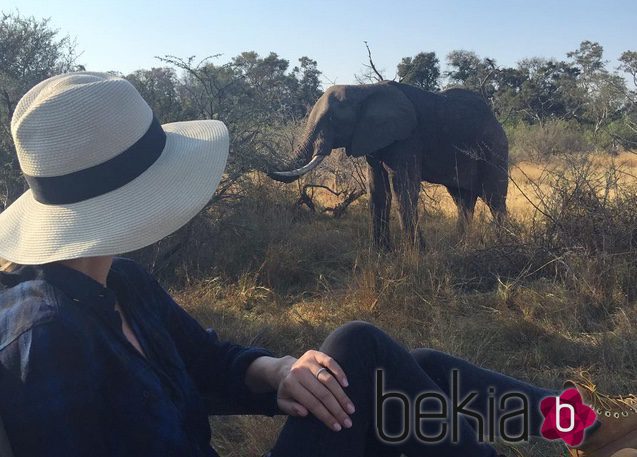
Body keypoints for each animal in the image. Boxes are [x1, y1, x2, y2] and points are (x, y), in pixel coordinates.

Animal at [266, 79, 510, 249]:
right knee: (462, 199)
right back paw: (459, 245)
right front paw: (381, 252)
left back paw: (503, 244)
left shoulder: (408, 138)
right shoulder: (372, 140)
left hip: (494, 148)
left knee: (494, 197)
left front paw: (417, 253)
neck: (363, 90)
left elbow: (404, 188)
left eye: (333, 120)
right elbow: (377, 189)